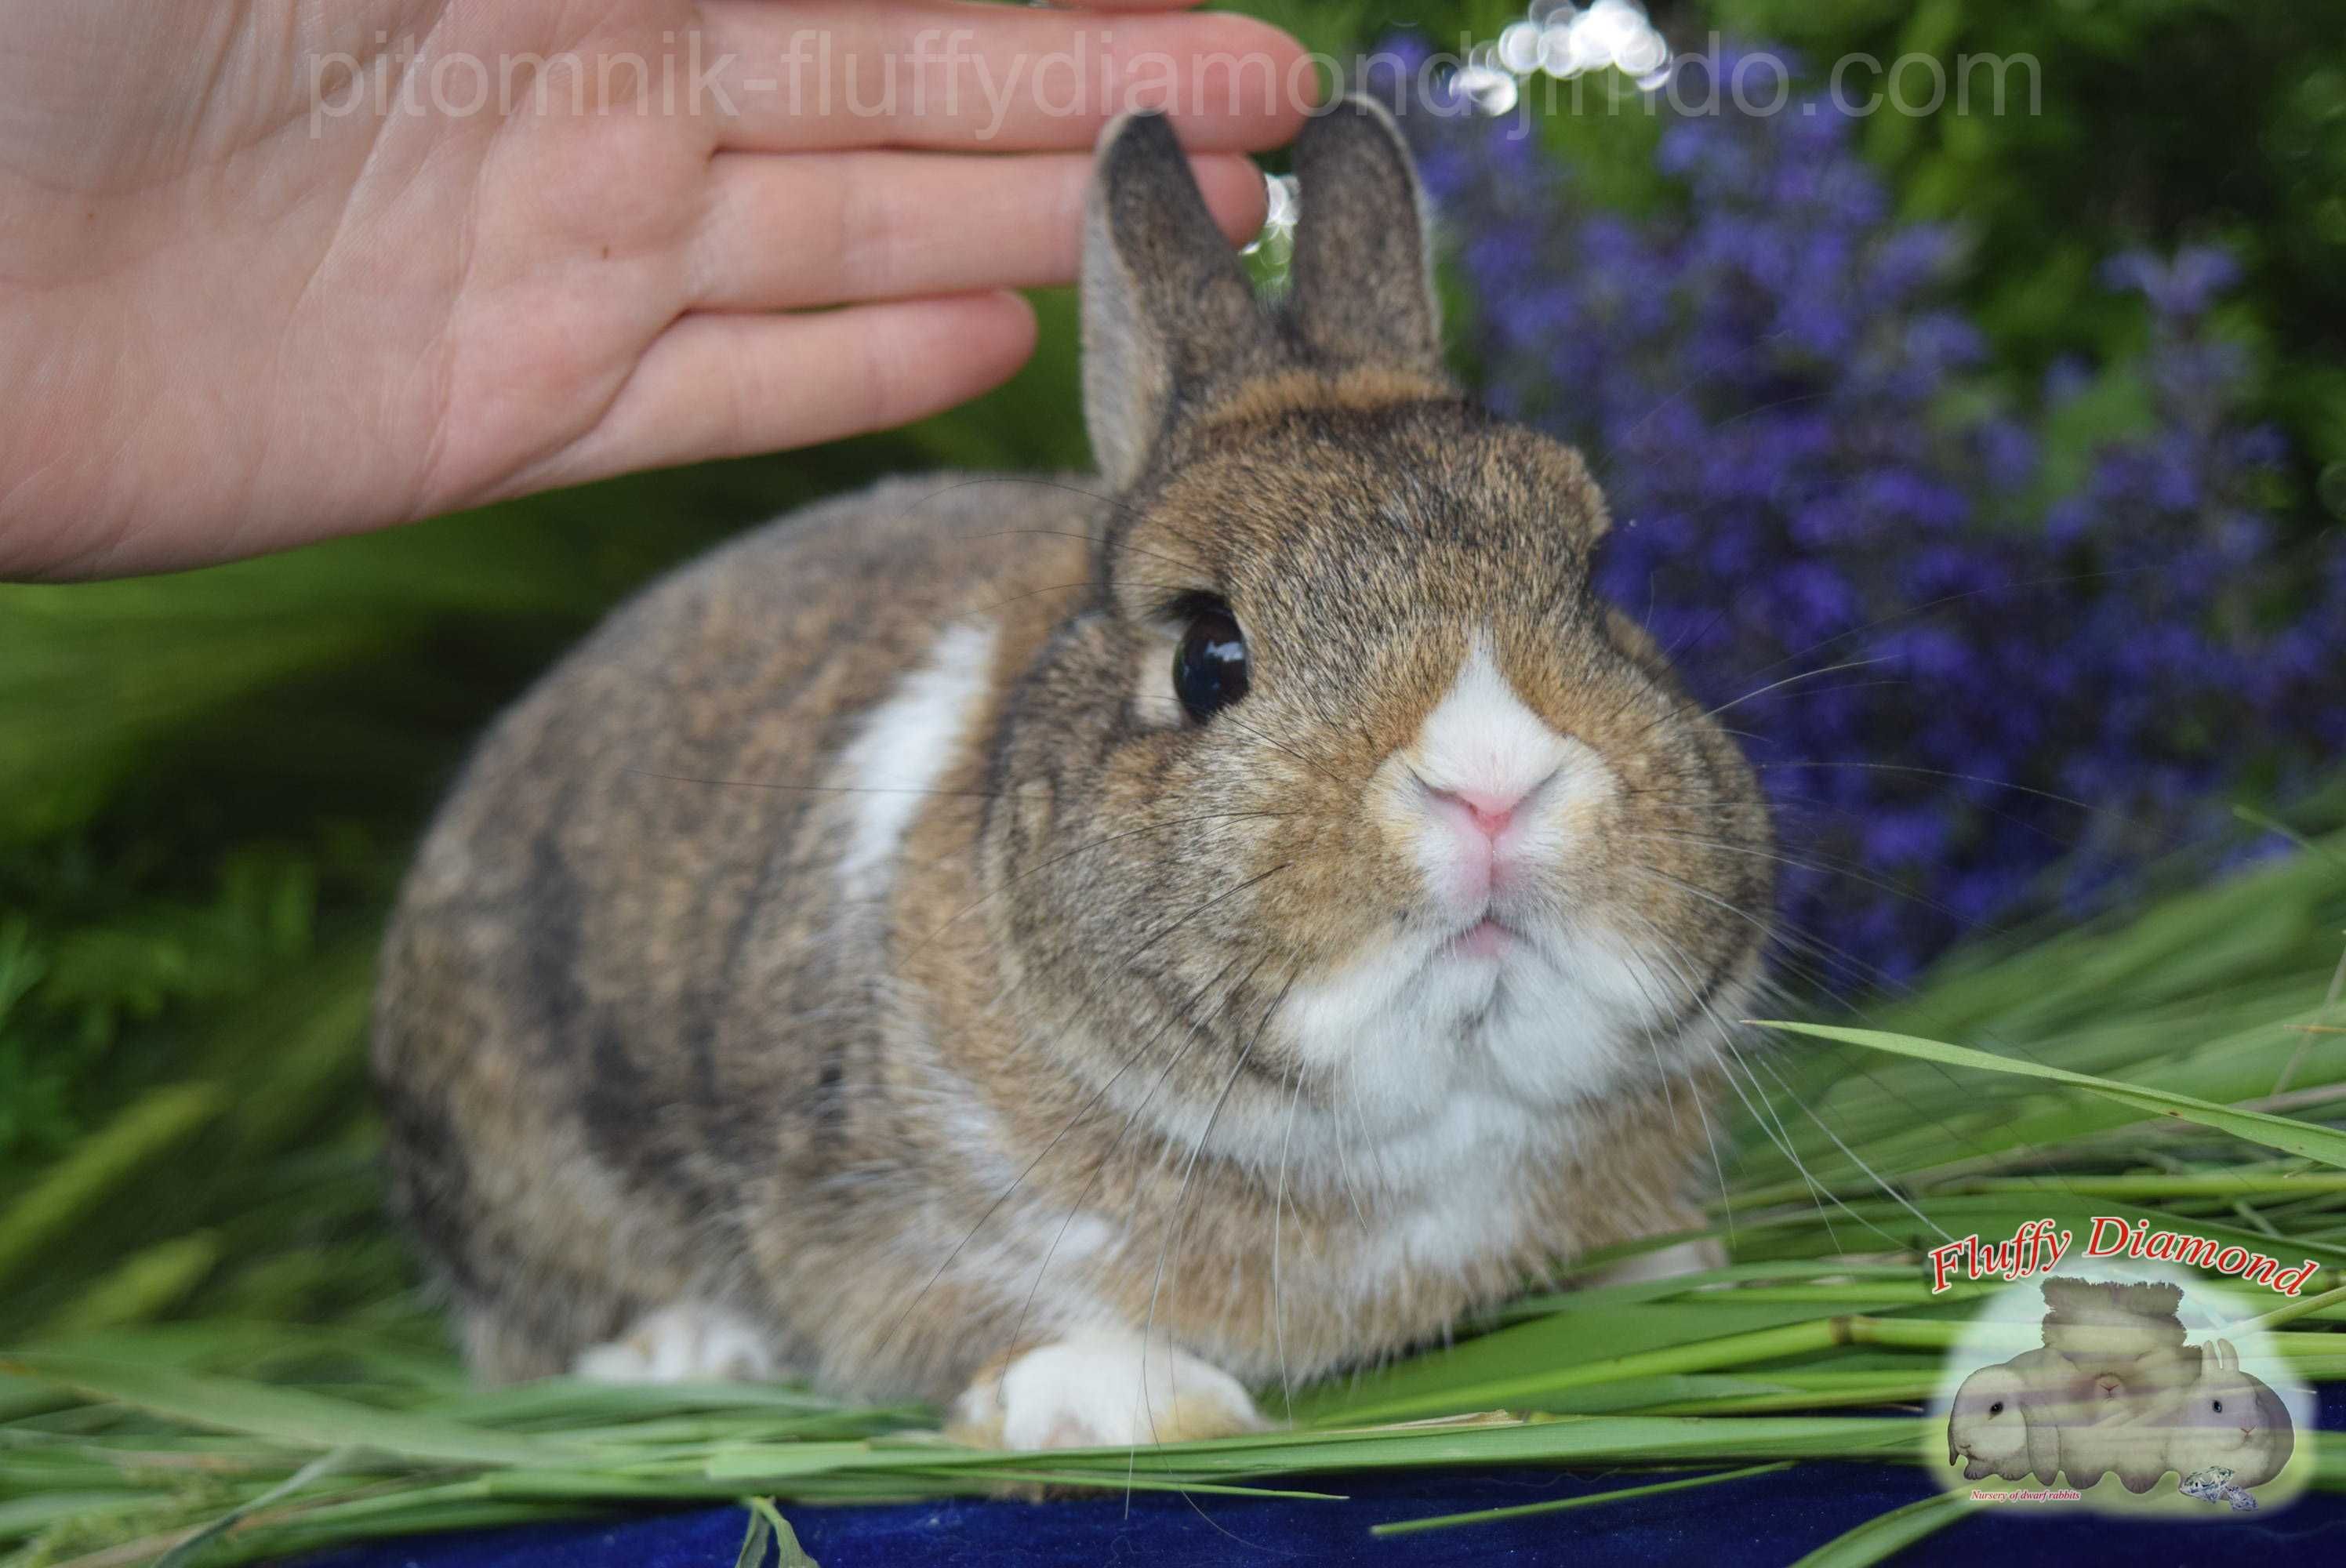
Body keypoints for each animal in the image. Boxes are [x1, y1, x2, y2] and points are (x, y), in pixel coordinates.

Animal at [365, 95, 1763, 1446]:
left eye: (1594, 586)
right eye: (1208, 656)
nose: (1491, 784)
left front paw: (1678, 1275)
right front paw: (1138, 1409)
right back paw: (688, 1353)